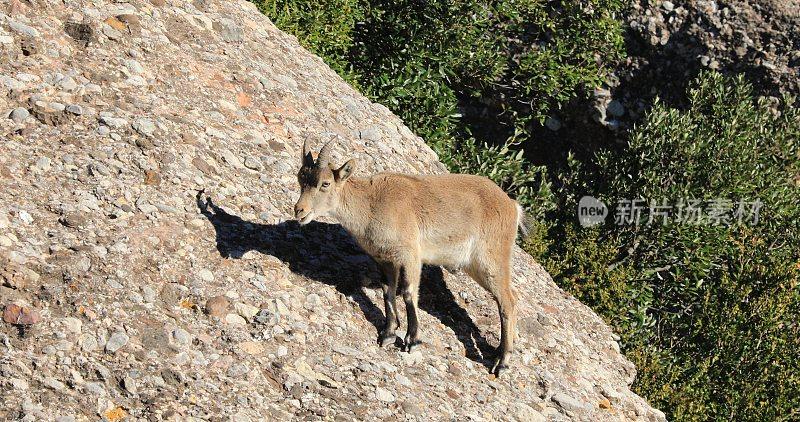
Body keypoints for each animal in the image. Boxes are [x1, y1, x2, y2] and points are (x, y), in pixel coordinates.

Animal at [294, 139, 524, 376]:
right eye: (300, 177)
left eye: (325, 183)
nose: (299, 210)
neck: (371, 204)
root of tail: (512, 206)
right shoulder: (385, 259)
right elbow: (388, 291)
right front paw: (388, 334)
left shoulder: (410, 255)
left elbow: (408, 293)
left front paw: (412, 340)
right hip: (476, 265)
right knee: (511, 296)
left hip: (491, 259)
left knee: (508, 301)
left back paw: (502, 362)